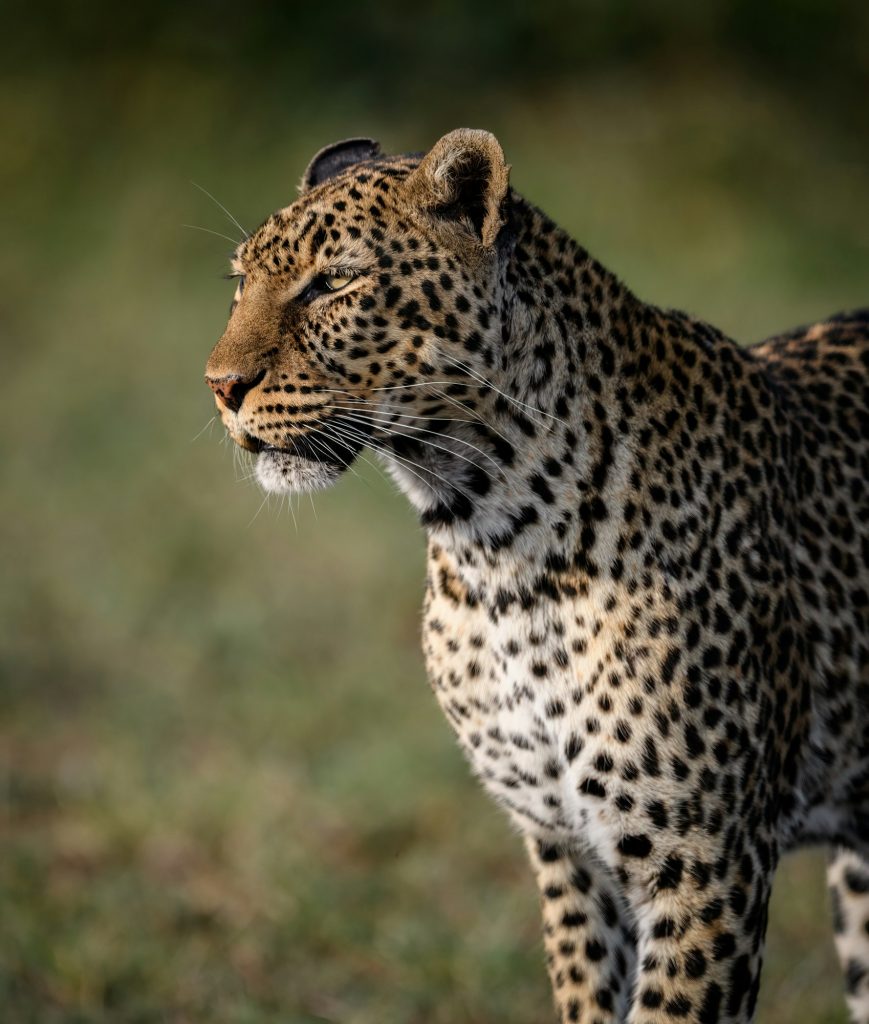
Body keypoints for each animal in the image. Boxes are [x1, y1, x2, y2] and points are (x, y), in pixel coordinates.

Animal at [201, 130, 867, 1024]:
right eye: (240, 282)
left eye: (334, 282)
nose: (219, 386)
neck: (495, 545)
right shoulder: (566, 851)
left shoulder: (706, 863)